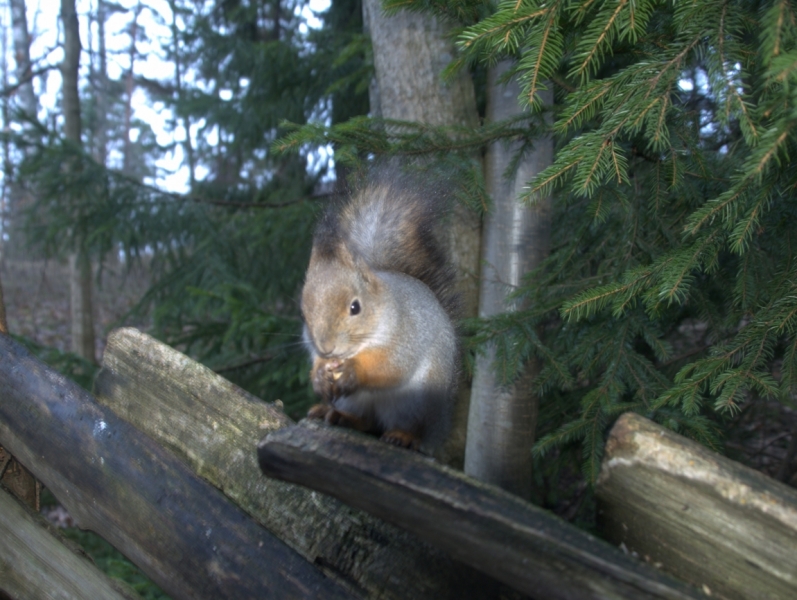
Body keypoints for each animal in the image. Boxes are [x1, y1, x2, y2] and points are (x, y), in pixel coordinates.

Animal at [300, 170, 460, 450]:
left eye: (355, 307)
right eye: (304, 311)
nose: (327, 348)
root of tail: (438, 429)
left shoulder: (405, 337)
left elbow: (389, 367)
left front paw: (354, 372)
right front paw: (319, 375)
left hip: (414, 403)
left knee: (408, 428)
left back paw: (403, 436)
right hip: (353, 401)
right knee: (366, 421)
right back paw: (335, 414)